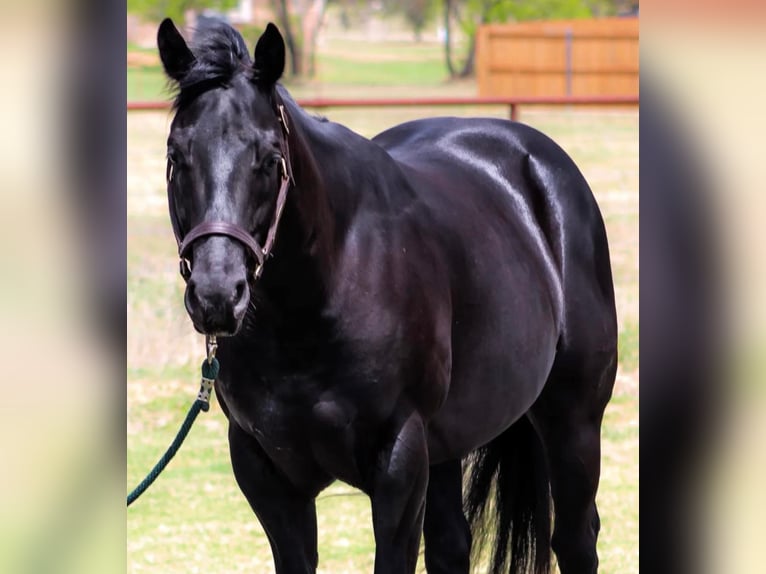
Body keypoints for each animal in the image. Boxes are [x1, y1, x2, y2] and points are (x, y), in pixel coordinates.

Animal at [156, 19, 616, 574]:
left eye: (270, 158)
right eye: (176, 156)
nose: (217, 294)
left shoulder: (400, 462)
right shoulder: (264, 470)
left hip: (573, 423)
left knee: (575, 539)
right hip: (448, 447)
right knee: (451, 545)